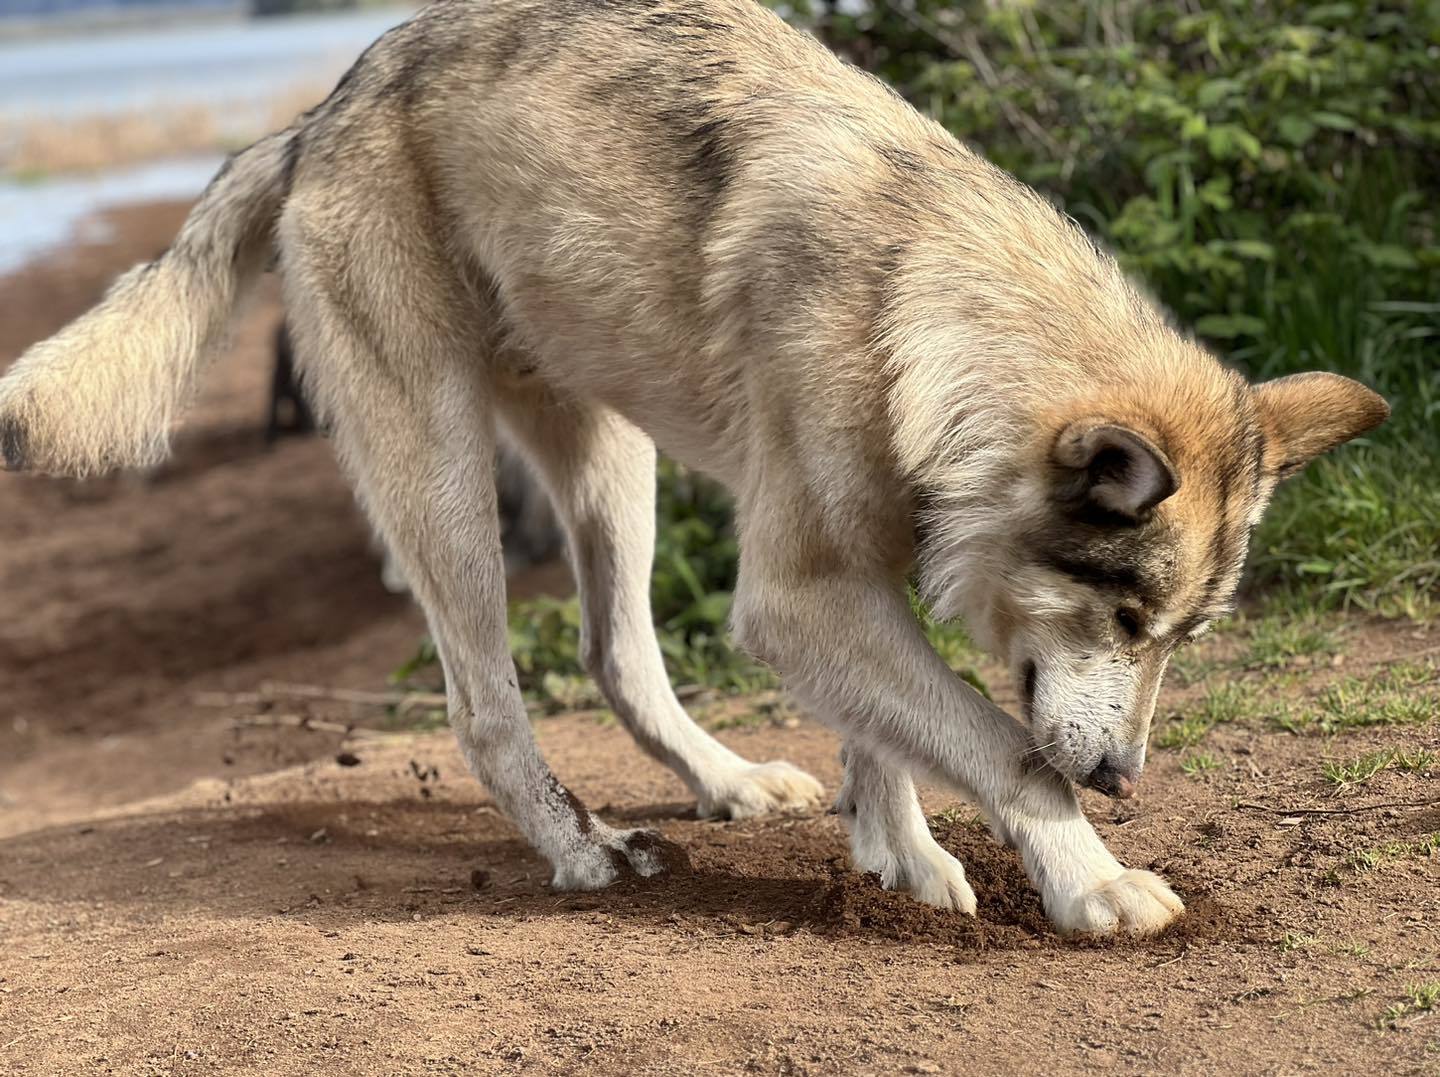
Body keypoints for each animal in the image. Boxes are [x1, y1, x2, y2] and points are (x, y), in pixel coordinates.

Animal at [2, 0, 1393, 933]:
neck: (916, 316)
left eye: (1184, 640)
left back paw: (724, 785)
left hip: (616, 470)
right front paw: (1094, 881)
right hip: (449, 488)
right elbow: (1000, 747)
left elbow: (888, 740)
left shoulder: (843, 588)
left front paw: (900, 860)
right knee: (488, 705)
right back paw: (583, 854)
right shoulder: (800, 594)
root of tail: (318, 110)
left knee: (619, 658)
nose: (1126, 779)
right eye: (1129, 620)